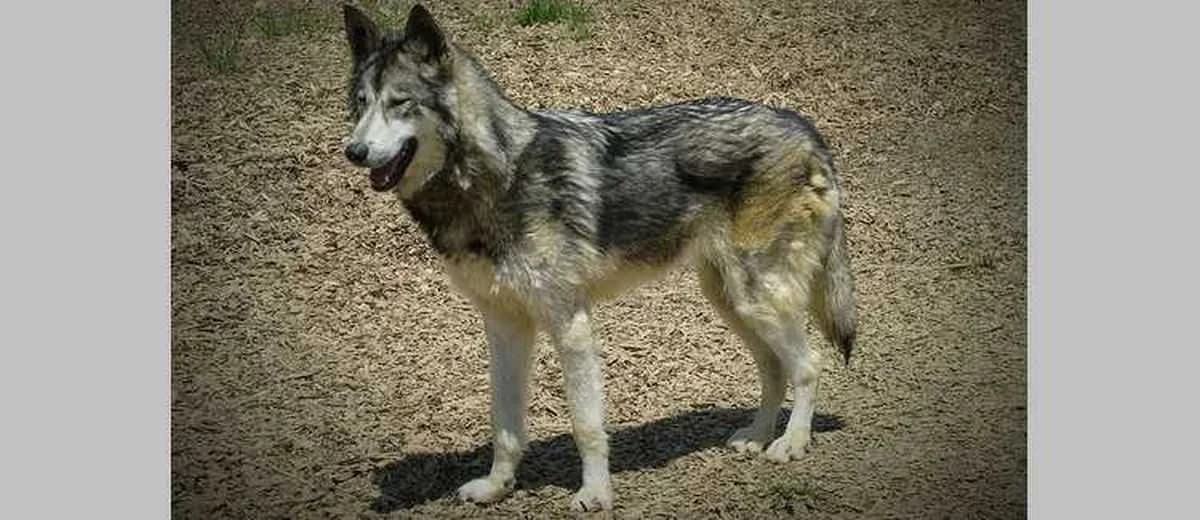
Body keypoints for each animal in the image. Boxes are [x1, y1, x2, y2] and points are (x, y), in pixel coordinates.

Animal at [340, 4, 858, 512]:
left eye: (400, 103)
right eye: (361, 103)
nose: (354, 151)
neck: (498, 177)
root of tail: (802, 125)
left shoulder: (570, 325)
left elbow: (586, 425)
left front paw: (594, 494)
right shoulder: (505, 327)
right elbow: (504, 425)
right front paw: (496, 487)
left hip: (757, 299)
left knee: (808, 365)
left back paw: (791, 444)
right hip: (731, 301)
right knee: (774, 367)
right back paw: (756, 435)